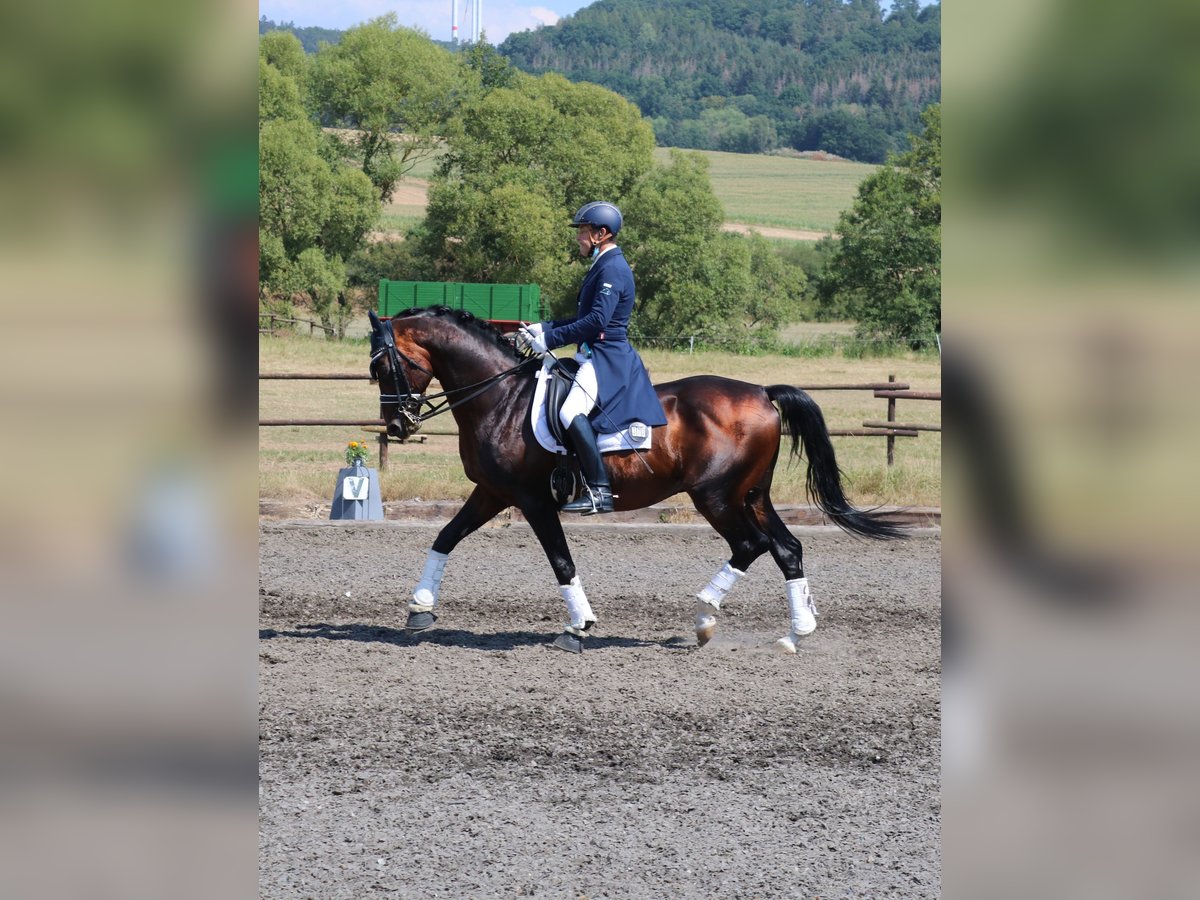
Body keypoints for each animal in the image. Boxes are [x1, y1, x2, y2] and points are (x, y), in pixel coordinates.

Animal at [364, 307, 902, 652]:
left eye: (383, 365)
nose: (397, 426)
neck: (501, 398)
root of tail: (762, 393)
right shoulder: (493, 492)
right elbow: (445, 537)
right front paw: (419, 608)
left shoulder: (532, 500)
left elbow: (561, 561)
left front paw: (578, 626)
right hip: (750, 494)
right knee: (786, 548)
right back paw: (793, 634)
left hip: (715, 496)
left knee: (750, 545)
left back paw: (705, 615)